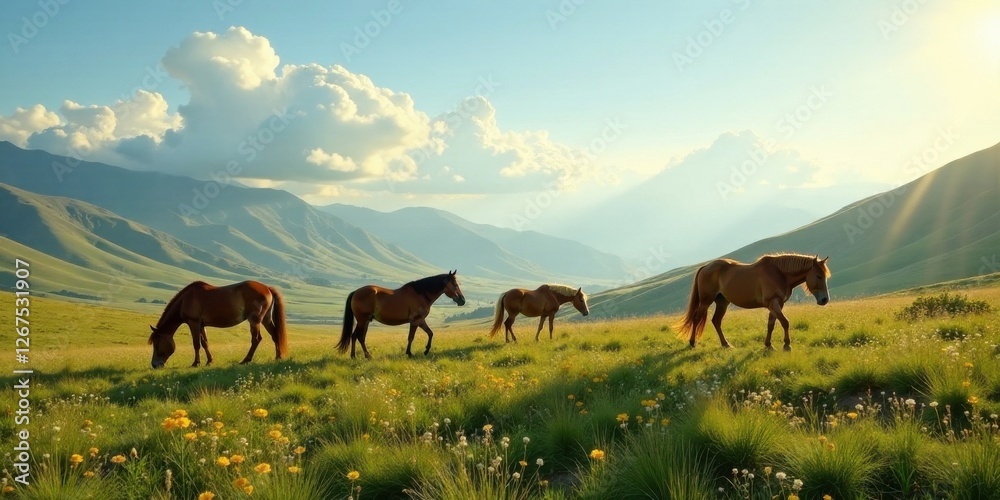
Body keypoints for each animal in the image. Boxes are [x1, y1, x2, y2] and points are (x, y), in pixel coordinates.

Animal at [148, 281, 288, 368]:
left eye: (157, 343)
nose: (154, 365)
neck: (186, 300)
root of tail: (267, 288)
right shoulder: (202, 325)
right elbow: (205, 343)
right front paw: (209, 361)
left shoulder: (194, 323)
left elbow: (196, 344)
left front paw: (196, 363)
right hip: (266, 319)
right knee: (275, 335)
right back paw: (278, 357)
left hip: (255, 320)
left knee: (256, 339)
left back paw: (246, 360)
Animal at [337, 271, 466, 359]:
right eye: (455, 285)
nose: (462, 300)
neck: (421, 294)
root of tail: (356, 292)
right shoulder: (415, 321)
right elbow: (411, 337)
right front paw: (410, 353)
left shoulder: (421, 321)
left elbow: (430, 333)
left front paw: (426, 350)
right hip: (362, 321)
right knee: (358, 337)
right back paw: (363, 356)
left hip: (365, 321)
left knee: (358, 337)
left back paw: (359, 356)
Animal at [676, 254, 830, 351]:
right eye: (818, 276)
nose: (824, 300)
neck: (779, 274)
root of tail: (705, 267)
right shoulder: (773, 303)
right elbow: (785, 322)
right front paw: (787, 345)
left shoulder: (777, 304)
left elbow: (771, 324)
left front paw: (768, 345)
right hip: (705, 302)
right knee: (696, 318)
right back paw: (692, 343)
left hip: (722, 302)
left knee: (716, 321)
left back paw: (726, 344)